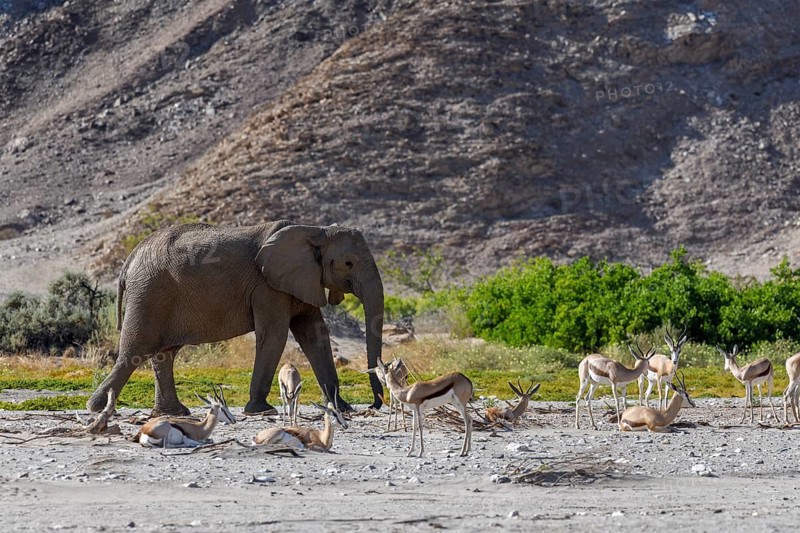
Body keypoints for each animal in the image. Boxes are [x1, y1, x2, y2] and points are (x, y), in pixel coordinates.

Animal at [86, 220, 385, 416]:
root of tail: (132, 256)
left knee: (164, 354)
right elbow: (275, 334)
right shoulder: (267, 286)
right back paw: (97, 407)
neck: (315, 230)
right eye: (348, 263)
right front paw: (261, 410)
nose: (374, 404)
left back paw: (174, 413)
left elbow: (315, 334)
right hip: (149, 293)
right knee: (135, 351)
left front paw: (342, 407)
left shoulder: (301, 280)